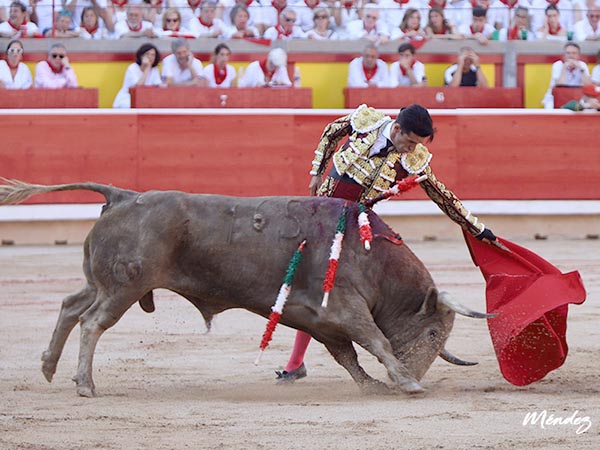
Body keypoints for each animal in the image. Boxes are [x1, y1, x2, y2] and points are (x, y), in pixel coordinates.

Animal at [0, 179, 492, 398]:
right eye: (434, 332)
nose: (419, 371)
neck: (375, 259)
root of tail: (122, 194)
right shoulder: (345, 308)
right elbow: (374, 340)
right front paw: (404, 381)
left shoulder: (320, 321)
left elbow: (349, 356)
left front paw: (372, 385)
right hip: (124, 287)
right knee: (91, 322)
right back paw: (84, 384)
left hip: (100, 281)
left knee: (70, 305)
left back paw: (49, 367)